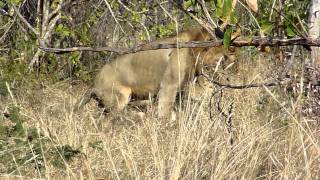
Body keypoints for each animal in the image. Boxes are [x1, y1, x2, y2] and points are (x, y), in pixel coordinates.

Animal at [75, 26, 238, 118]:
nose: (235, 61)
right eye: (227, 53)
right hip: (121, 95)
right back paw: (136, 117)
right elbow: (166, 112)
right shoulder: (169, 85)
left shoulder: (187, 86)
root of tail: (93, 85)